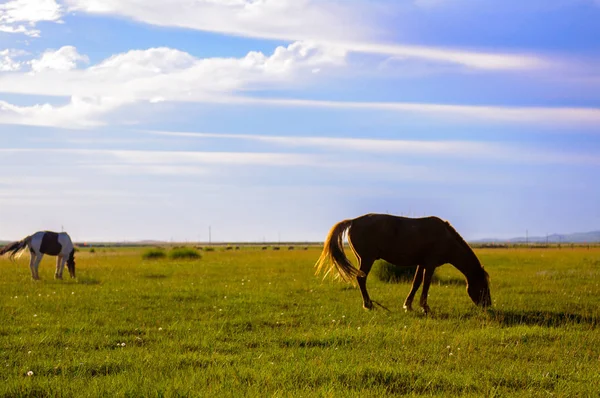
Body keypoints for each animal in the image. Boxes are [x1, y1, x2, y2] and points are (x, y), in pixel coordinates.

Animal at [316, 213, 490, 312]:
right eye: (483, 286)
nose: (488, 305)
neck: (446, 238)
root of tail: (353, 221)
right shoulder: (430, 264)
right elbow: (426, 284)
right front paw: (425, 307)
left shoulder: (421, 263)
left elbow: (416, 283)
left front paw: (408, 305)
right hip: (367, 259)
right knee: (361, 279)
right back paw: (368, 304)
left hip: (362, 259)